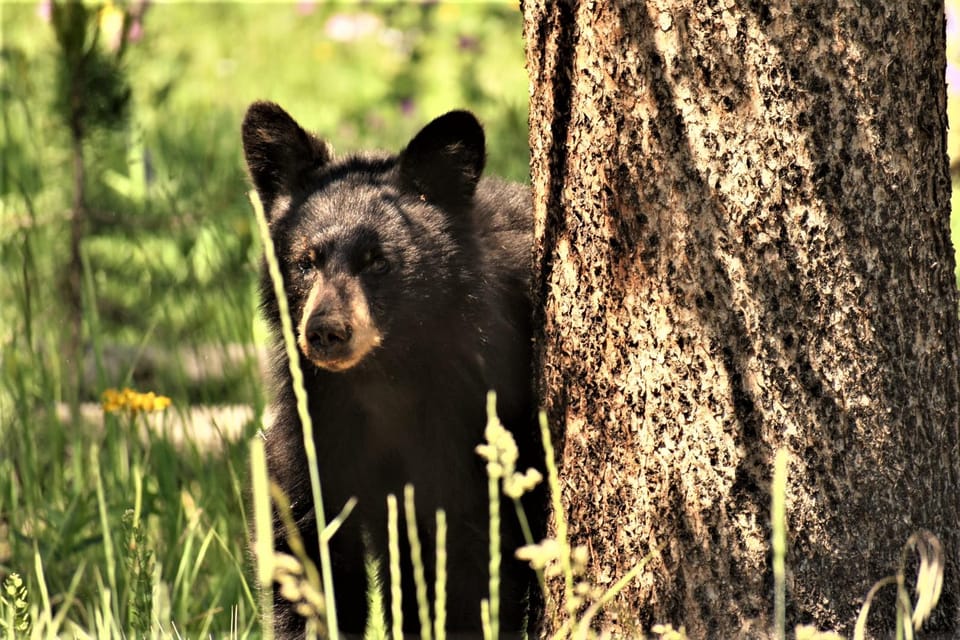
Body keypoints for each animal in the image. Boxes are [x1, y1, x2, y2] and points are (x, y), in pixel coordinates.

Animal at [244, 102, 548, 636]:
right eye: (306, 261)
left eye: (378, 261)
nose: (327, 331)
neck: (381, 382)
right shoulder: (313, 429)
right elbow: (307, 557)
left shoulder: (468, 426)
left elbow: (468, 570)